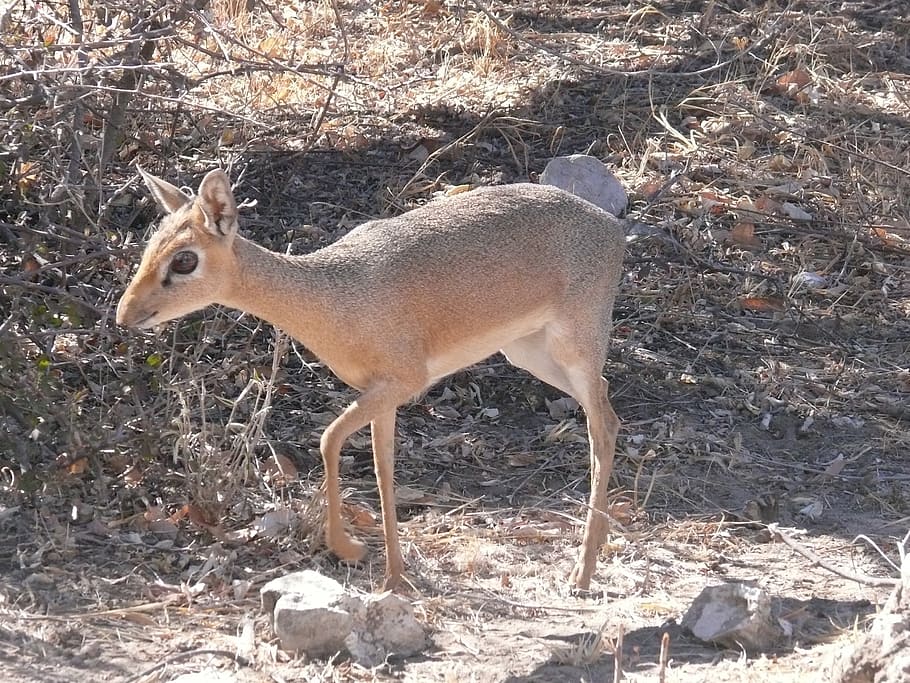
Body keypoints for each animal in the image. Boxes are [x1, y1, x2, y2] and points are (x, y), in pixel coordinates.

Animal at [116, 168, 628, 592]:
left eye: (185, 260)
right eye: (149, 247)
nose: (125, 314)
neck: (337, 295)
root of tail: (610, 225)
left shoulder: (403, 381)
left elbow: (328, 440)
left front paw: (349, 548)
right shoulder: (381, 393)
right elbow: (384, 469)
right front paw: (394, 577)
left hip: (575, 344)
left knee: (603, 423)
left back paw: (582, 574)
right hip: (528, 352)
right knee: (608, 410)